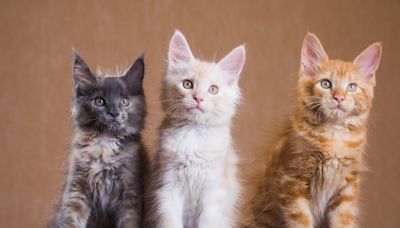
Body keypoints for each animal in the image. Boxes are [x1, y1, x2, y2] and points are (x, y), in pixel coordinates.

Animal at [52, 51, 148, 228]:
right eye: (99, 101)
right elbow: (70, 220)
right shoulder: (77, 188)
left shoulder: (130, 192)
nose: (114, 113)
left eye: (124, 101)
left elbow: (129, 222)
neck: (105, 143)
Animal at [142, 30, 245, 228]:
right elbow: (170, 222)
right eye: (187, 84)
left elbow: (207, 222)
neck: (194, 133)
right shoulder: (168, 187)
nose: (198, 98)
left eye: (213, 89)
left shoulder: (213, 192)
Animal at [252, 33, 382, 227]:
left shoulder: (347, 190)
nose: (339, 97)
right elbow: (302, 220)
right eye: (326, 84)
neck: (334, 136)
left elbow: (343, 220)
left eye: (352, 86)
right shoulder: (292, 180)